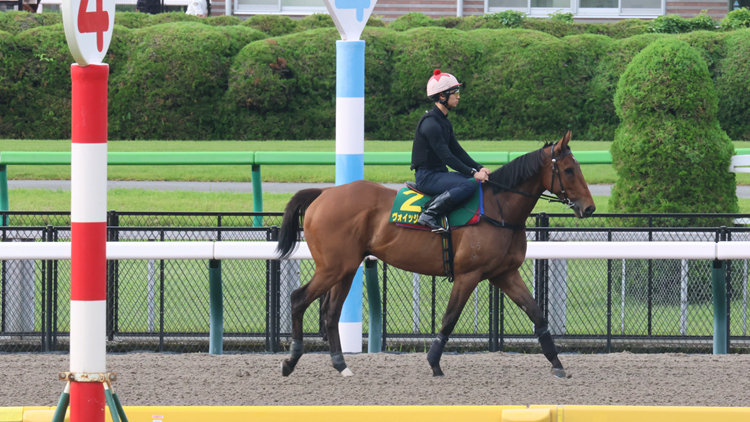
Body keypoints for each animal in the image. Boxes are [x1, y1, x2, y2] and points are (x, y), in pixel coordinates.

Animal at [280, 132, 596, 380]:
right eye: (569, 169)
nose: (589, 208)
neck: (499, 209)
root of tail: (323, 194)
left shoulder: (505, 274)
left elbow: (537, 315)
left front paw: (557, 363)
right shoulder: (469, 275)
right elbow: (449, 319)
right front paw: (433, 362)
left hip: (346, 268)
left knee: (331, 313)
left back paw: (341, 364)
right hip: (333, 267)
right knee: (299, 299)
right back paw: (291, 360)